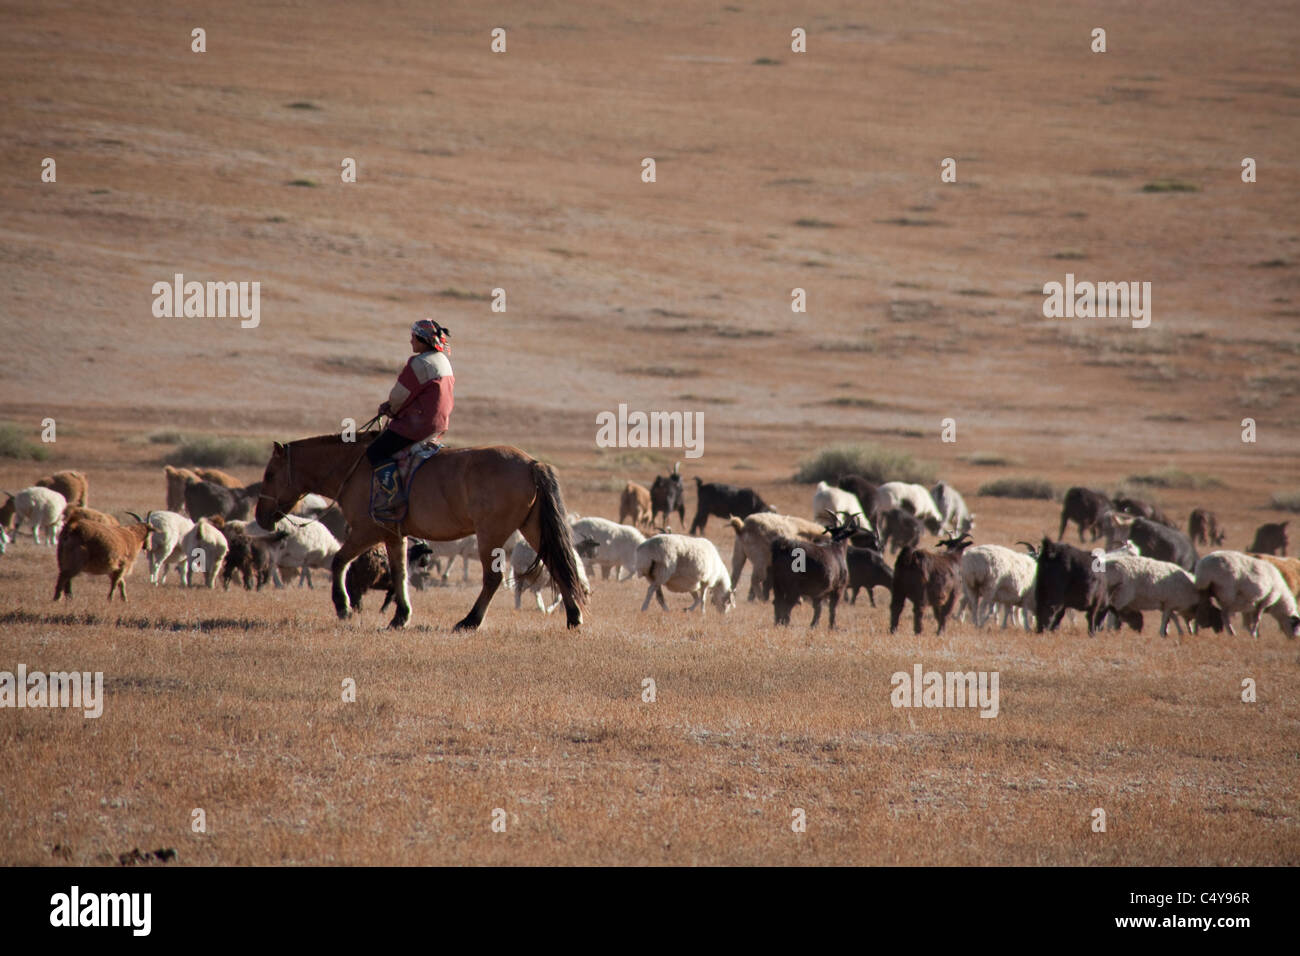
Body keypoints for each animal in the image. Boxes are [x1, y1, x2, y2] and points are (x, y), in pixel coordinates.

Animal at [254, 434, 590, 632]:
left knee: (493, 579)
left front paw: (343, 606)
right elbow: (400, 572)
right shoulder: (394, 535)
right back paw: (573, 617)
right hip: (532, 528)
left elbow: (339, 561)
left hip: (491, 536)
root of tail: (532, 463)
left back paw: (469, 621)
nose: (260, 516)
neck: (353, 468)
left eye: (269, 474)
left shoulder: (367, 530)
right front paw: (400, 616)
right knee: (559, 565)